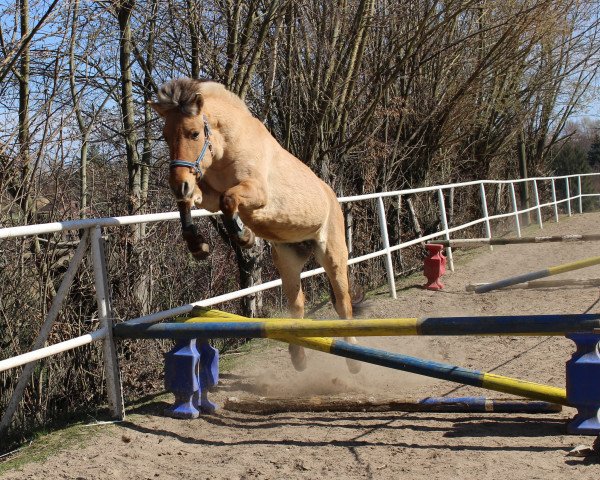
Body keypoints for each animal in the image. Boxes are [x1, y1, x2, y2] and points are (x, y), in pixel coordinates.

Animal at [151, 78, 360, 376]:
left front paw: (245, 237)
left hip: (332, 255)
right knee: (297, 304)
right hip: (288, 259)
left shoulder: (257, 194)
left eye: (193, 134)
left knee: (343, 304)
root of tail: (330, 193)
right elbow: (193, 202)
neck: (227, 147)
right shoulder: (208, 196)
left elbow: (229, 201)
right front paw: (198, 245)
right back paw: (298, 358)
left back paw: (353, 359)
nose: (179, 184)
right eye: (166, 136)